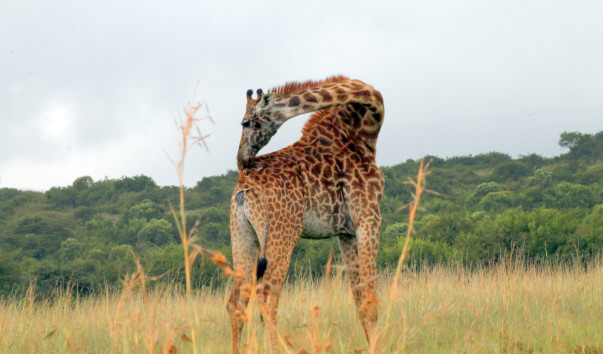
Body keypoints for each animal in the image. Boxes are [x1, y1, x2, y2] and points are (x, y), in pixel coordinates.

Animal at [229, 76, 384, 352]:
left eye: (246, 122)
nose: (242, 158)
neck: (363, 131)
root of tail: (244, 185)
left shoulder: (346, 233)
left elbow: (359, 301)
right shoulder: (369, 217)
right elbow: (370, 302)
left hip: (243, 236)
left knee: (236, 301)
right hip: (283, 233)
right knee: (268, 295)